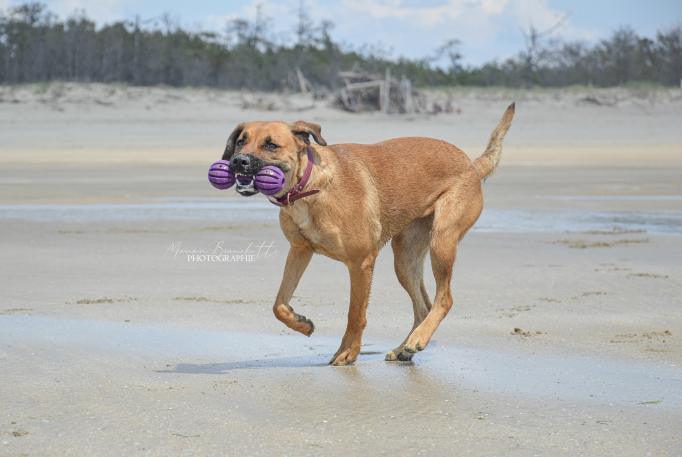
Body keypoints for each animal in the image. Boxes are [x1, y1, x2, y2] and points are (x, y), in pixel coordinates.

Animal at [220, 103, 512, 364]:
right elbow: (279, 304)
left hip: (442, 240)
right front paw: (302, 324)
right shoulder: (300, 251)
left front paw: (348, 353)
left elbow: (355, 313)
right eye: (241, 142)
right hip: (405, 258)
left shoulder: (361, 263)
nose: (238, 161)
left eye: (271, 145)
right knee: (423, 306)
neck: (310, 187)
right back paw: (406, 347)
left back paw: (417, 340)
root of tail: (472, 165)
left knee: (444, 299)